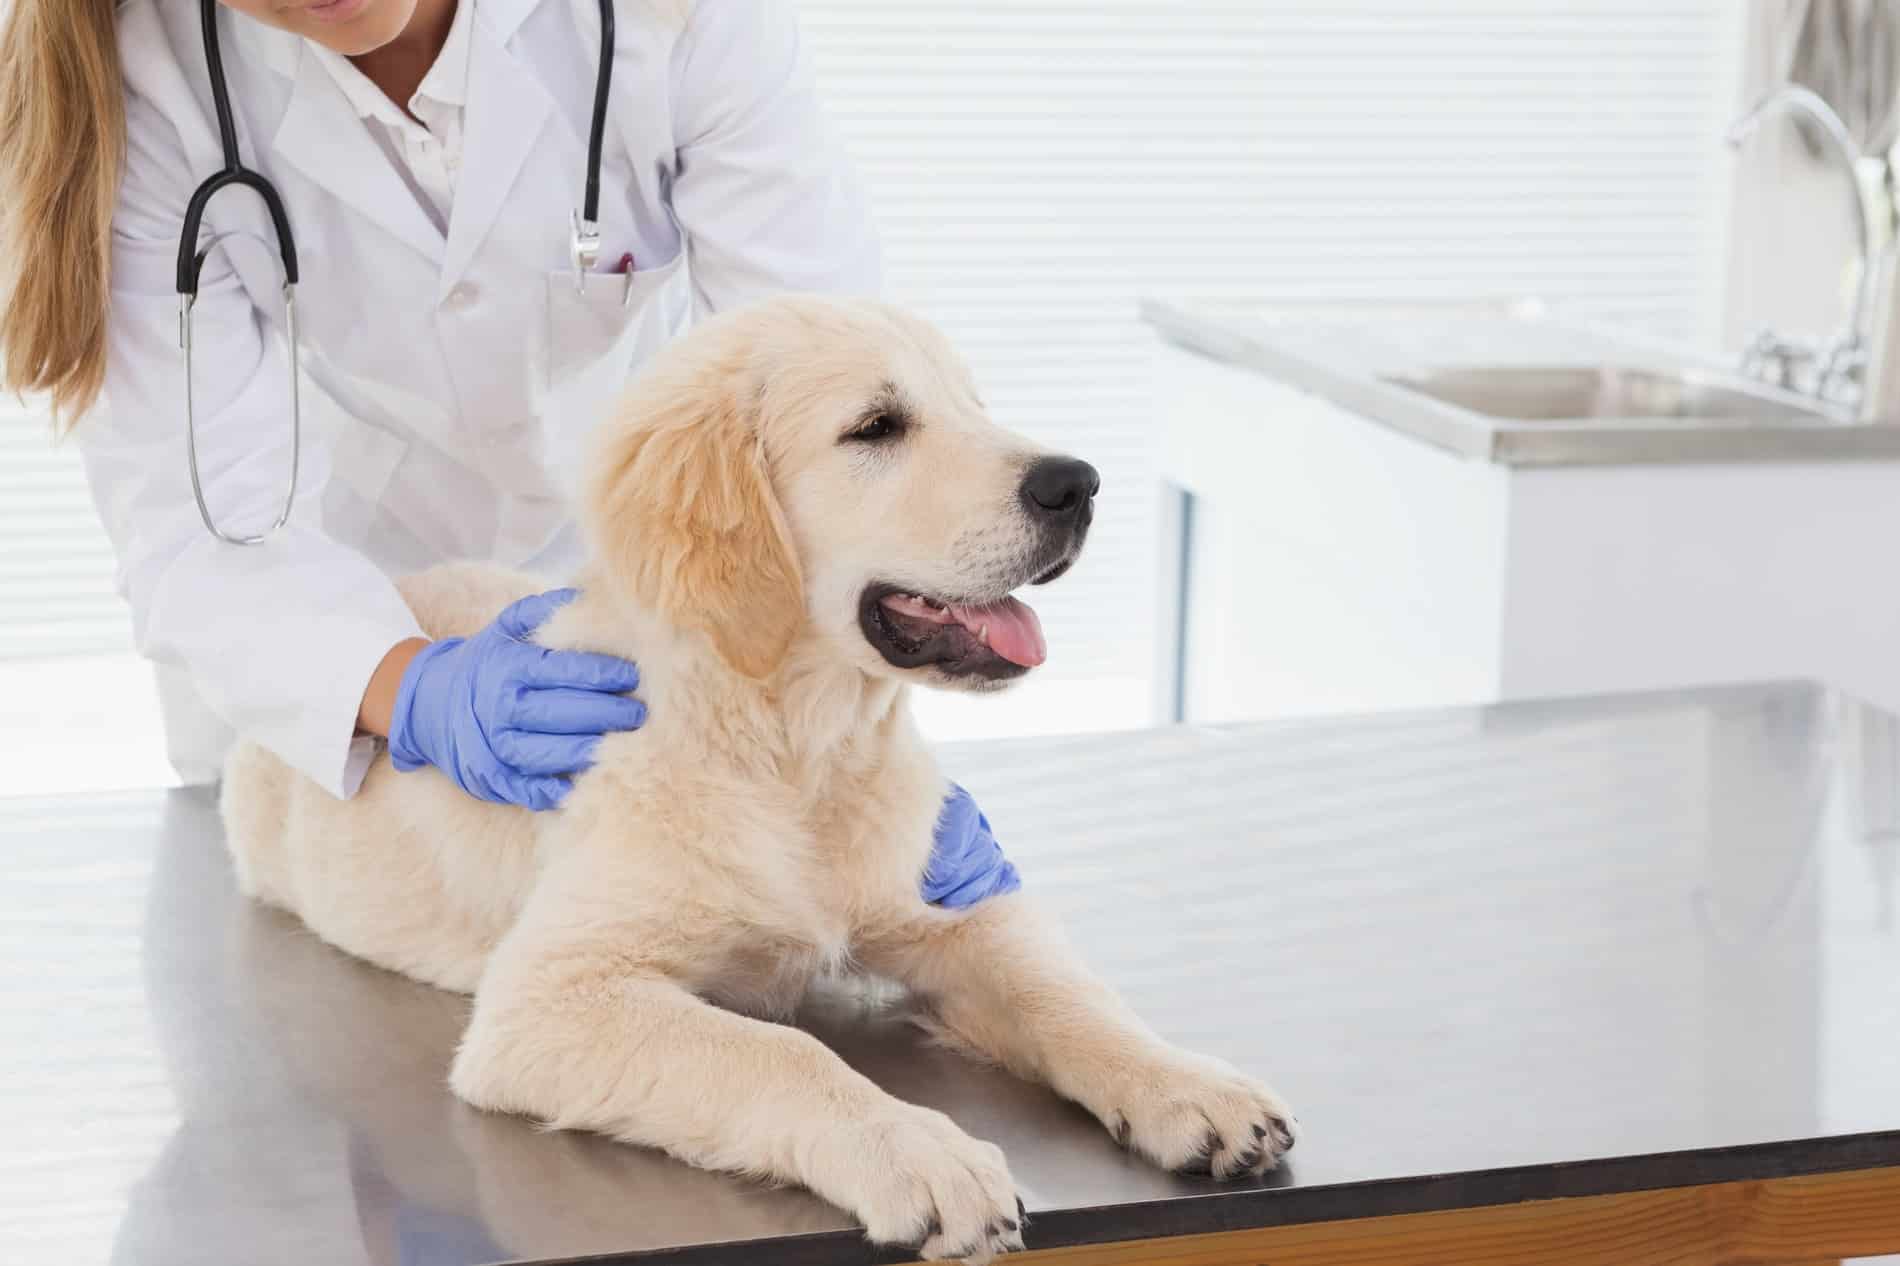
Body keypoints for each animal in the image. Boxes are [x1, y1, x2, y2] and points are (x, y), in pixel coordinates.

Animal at [218, 298, 1292, 1262]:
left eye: (974, 406)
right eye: (877, 426)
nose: (1079, 483)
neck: (796, 754)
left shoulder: (947, 912)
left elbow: (1064, 991)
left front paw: (1187, 1084)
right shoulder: (548, 1000)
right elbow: (783, 1051)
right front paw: (917, 1151)